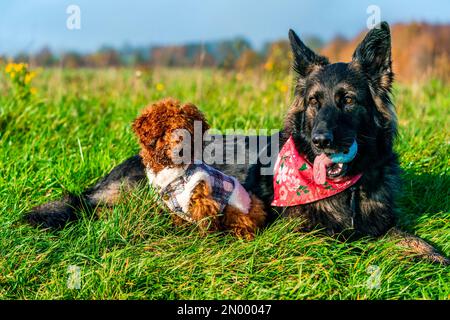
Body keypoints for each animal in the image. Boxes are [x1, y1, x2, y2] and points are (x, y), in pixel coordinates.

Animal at [132, 99, 266, 239]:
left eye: (186, 131)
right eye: (164, 132)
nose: (181, 151)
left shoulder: (202, 200)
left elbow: (206, 223)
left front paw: (204, 240)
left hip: (235, 207)